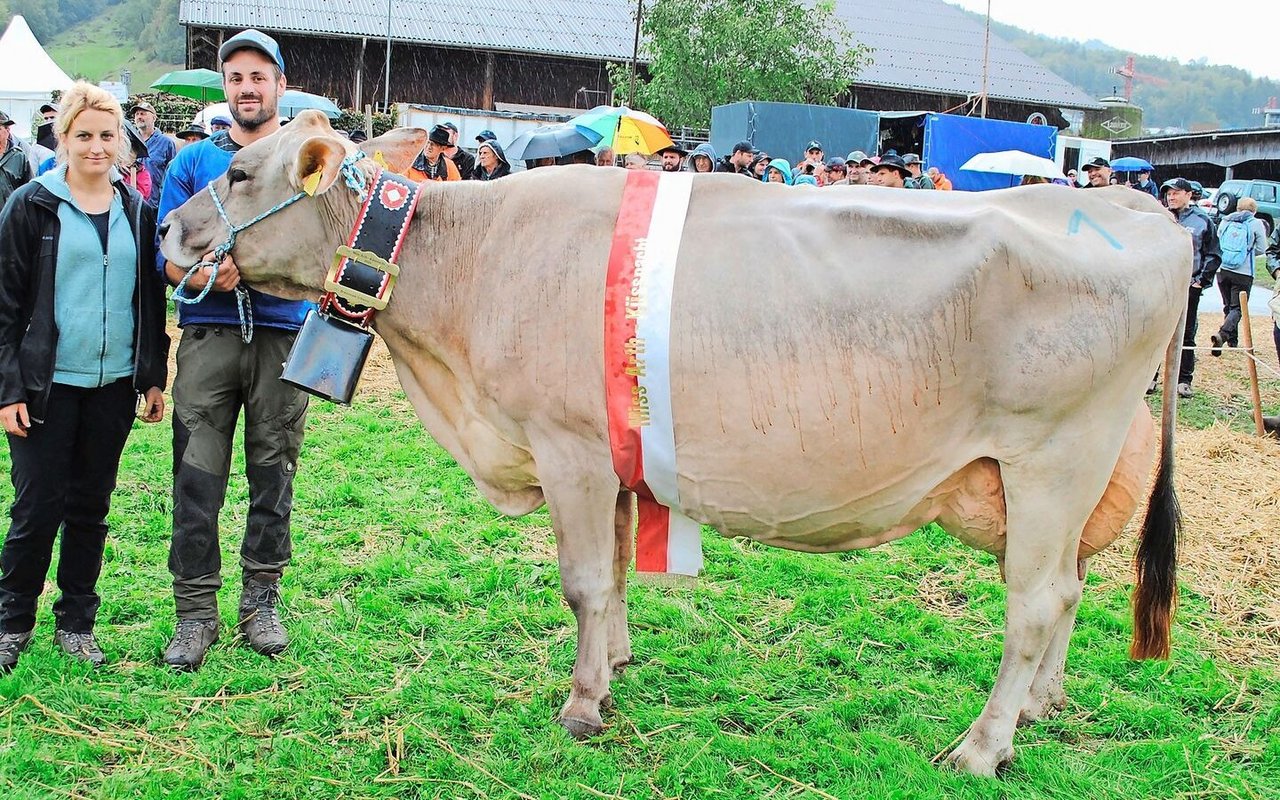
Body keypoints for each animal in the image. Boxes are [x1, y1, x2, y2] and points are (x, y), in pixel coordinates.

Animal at [160, 112, 1187, 773]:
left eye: (242, 173)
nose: (169, 225)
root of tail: (1146, 216)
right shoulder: (615, 449)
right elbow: (615, 571)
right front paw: (616, 665)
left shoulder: (568, 444)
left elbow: (582, 580)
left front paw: (582, 703)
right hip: (1059, 483)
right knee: (1070, 591)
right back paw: (1041, 708)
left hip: (1052, 458)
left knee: (1035, 604)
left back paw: (981, 746)